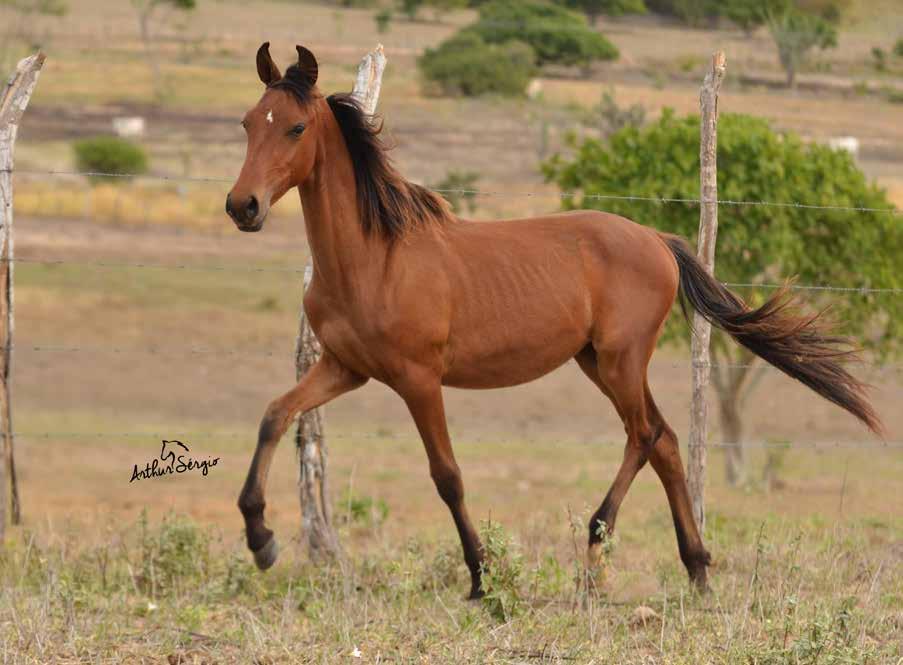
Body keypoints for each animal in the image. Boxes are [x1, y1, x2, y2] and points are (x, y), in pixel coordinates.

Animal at [226, 45, 884, 596]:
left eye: (296, 126)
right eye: (248, 122)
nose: (243, 207)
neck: (372, 258)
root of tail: (656, 240)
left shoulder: (418, 379)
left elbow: (447, 475)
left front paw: (481, 576)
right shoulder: (344, 368)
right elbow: (274, 416)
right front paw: (261, 540)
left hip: (619, 361)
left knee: (645, 435)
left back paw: (596, 546)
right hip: (598, 362)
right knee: (667, 441)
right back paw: (696, 570)